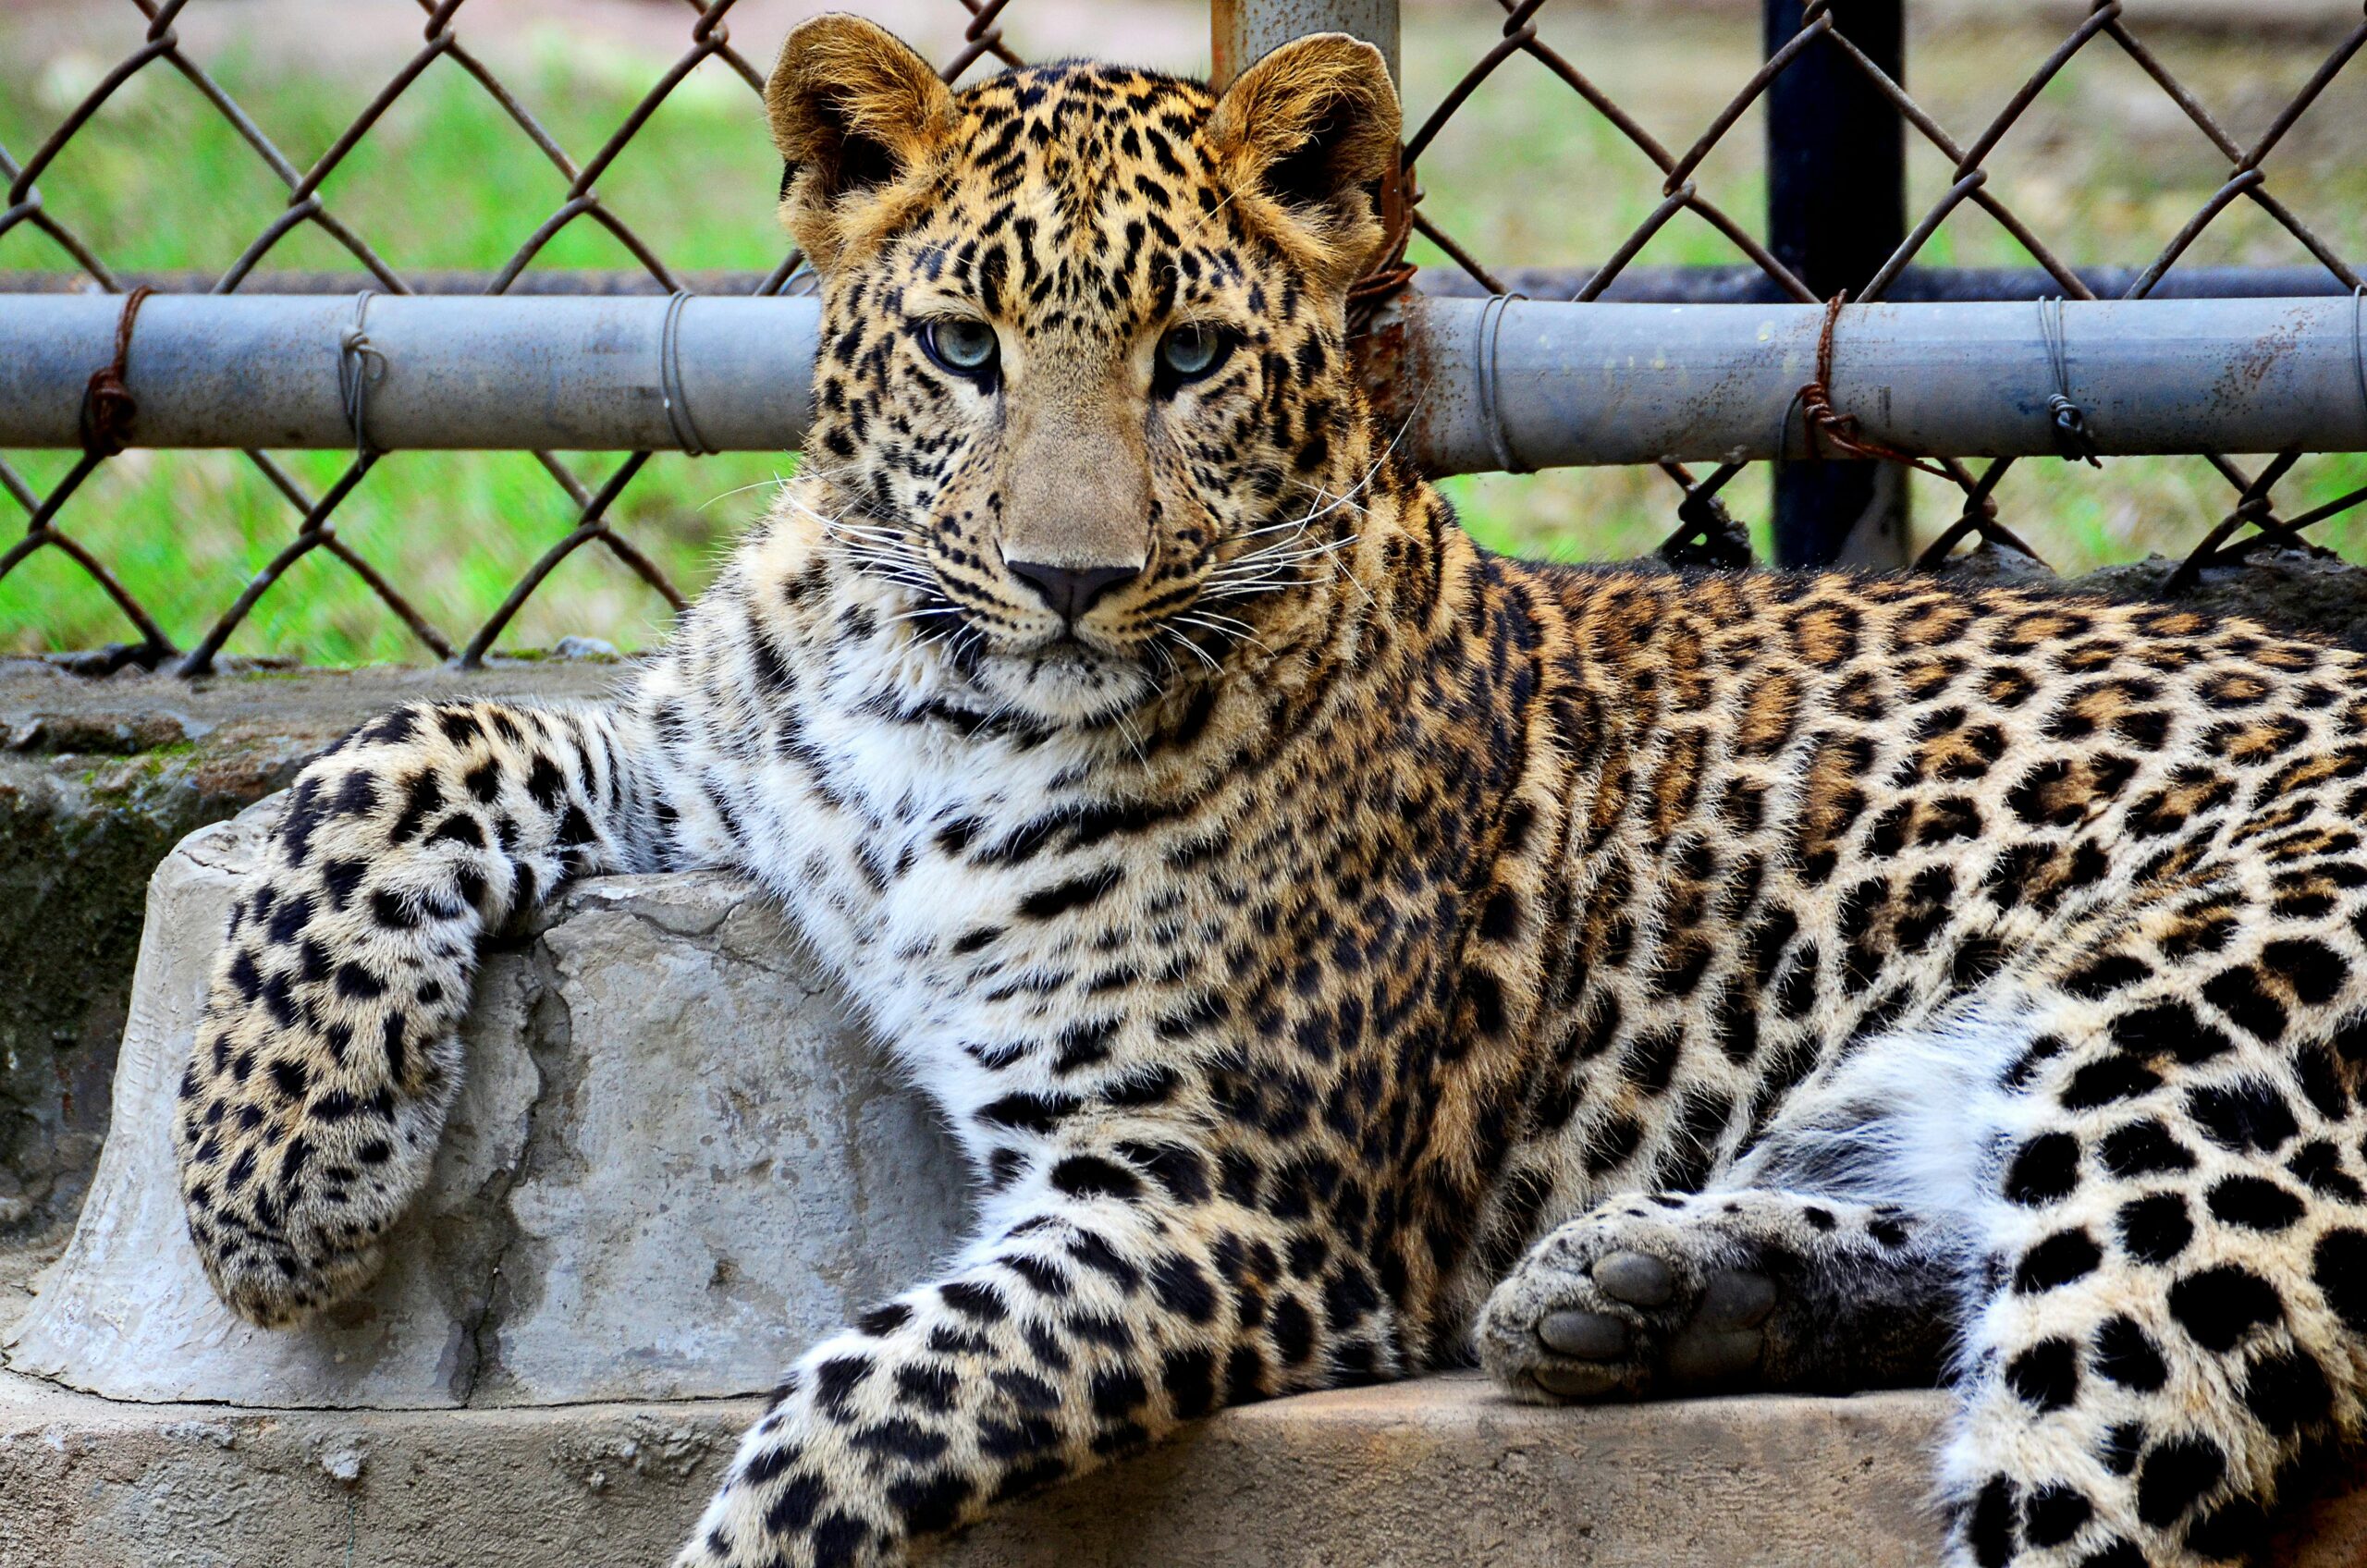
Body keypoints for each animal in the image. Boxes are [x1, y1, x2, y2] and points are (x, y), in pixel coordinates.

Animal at [171, 15, 2367, 1568]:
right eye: (960, 346)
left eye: (1194, 357)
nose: (1063, 574)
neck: (941, 702)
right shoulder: (727, 757)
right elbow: (406, 744)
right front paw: (274, 1178)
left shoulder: (1221, 1199)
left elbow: (849, 1411)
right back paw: (1659, 1290)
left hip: (2187, 1046)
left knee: (2092, 1446)